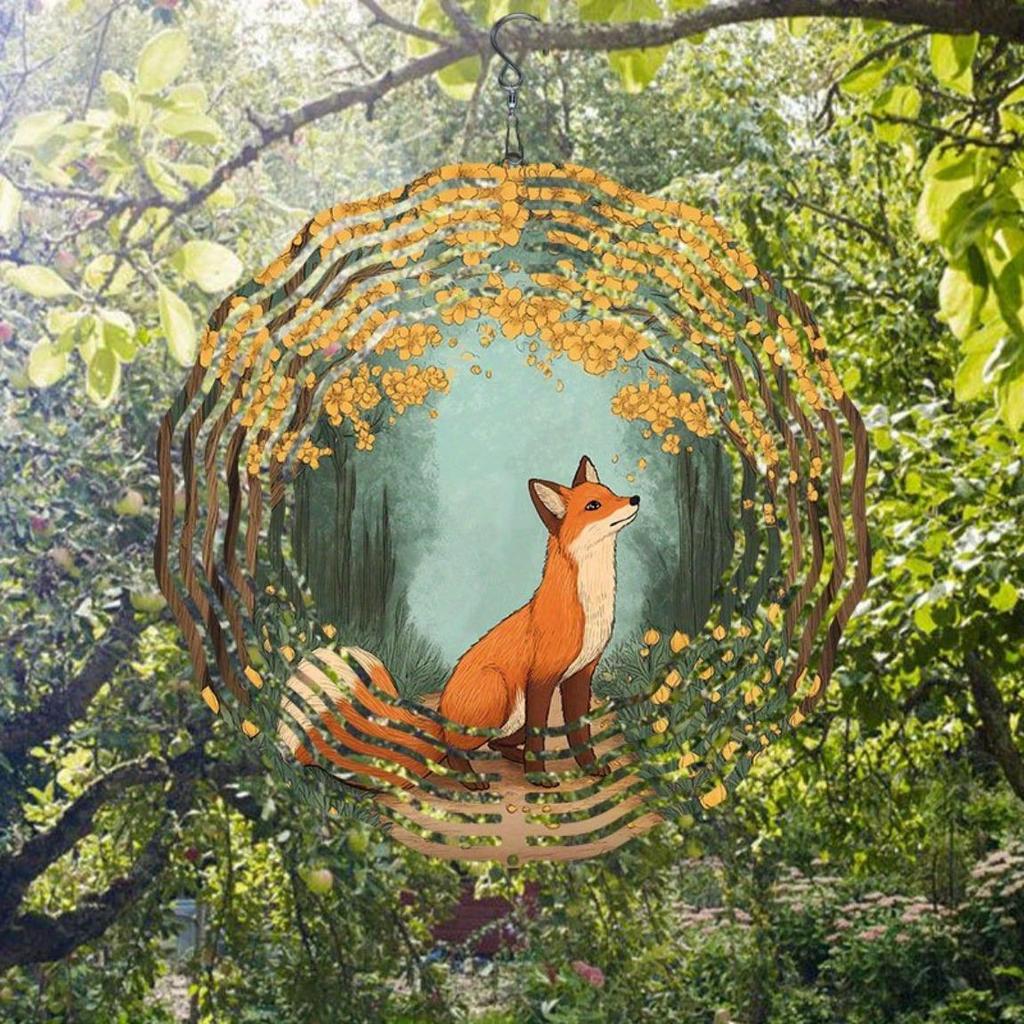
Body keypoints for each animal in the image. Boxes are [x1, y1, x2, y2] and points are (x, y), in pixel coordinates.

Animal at [281, 456, 640, 792]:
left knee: (497, 743)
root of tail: (441, 717)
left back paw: (512, 757)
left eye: (611, 493)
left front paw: (591, 768)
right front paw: (538, 777)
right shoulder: (542, 677)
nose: (635, 498)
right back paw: (471, 778)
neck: (589, 604)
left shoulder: (580, 674)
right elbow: (540, 736)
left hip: (513, 713)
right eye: (593, 506)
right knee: (456, 748)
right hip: (498, 690)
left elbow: (581, 732)